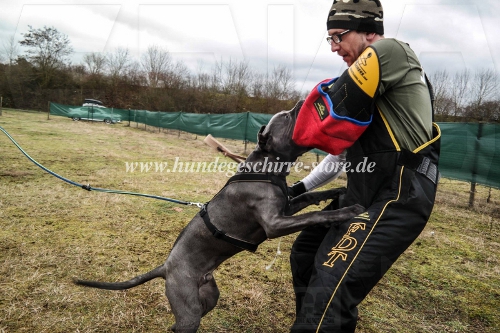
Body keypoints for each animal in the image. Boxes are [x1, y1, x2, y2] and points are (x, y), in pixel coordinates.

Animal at [74, 101, 364, 332]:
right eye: (287, 116)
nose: (301, 102)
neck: (266, 167)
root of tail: (165, 268)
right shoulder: (275, 223)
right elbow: (313, 215)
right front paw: (346, 212)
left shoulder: (288, 207)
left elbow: (311, 198)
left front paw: (338, 191)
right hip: (190, 309)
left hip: (209, 296)